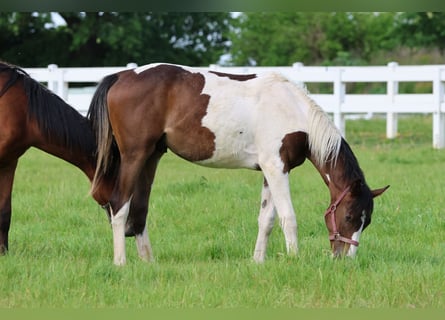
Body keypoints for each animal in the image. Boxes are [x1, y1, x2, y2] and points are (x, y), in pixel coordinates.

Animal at [87, 63, 388, 264]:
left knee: (140, 210)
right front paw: (295, 259)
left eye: (367, 221)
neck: (294, 111)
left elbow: (267, 219)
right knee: (119, 205)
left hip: (152, 157)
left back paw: (148, 262)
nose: (345, 259)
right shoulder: (277, 167)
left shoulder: (270, 170)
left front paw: (258, 261)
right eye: (349, 217)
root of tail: (122, 76)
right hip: (135, 156)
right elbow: (288, 217)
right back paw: (120, 262)